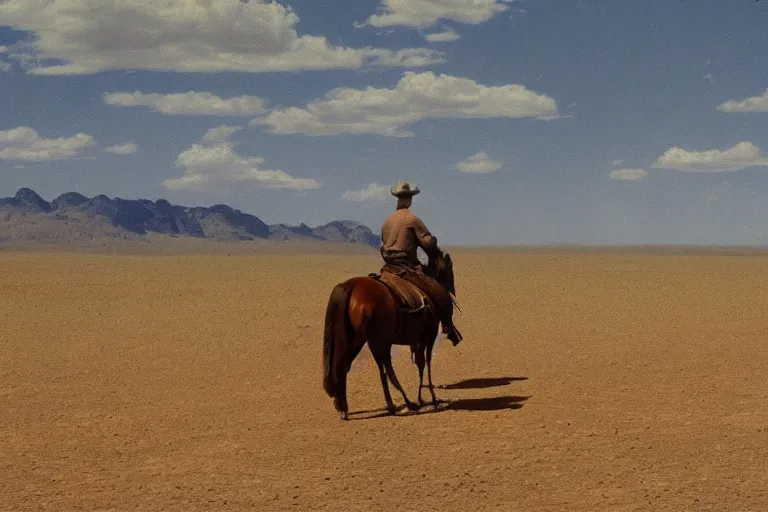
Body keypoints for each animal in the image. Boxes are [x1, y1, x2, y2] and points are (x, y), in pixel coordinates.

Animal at [322, 248, 456, 420]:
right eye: (449, 271)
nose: (452, 291)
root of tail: (350, 286)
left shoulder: (394, 341)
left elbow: (405, 364)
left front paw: (418, 399)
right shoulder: (428, 336)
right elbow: (425, 362)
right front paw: (429, 398)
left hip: (361, 339)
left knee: (353, 365)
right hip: (365, 340)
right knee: (347, 364)